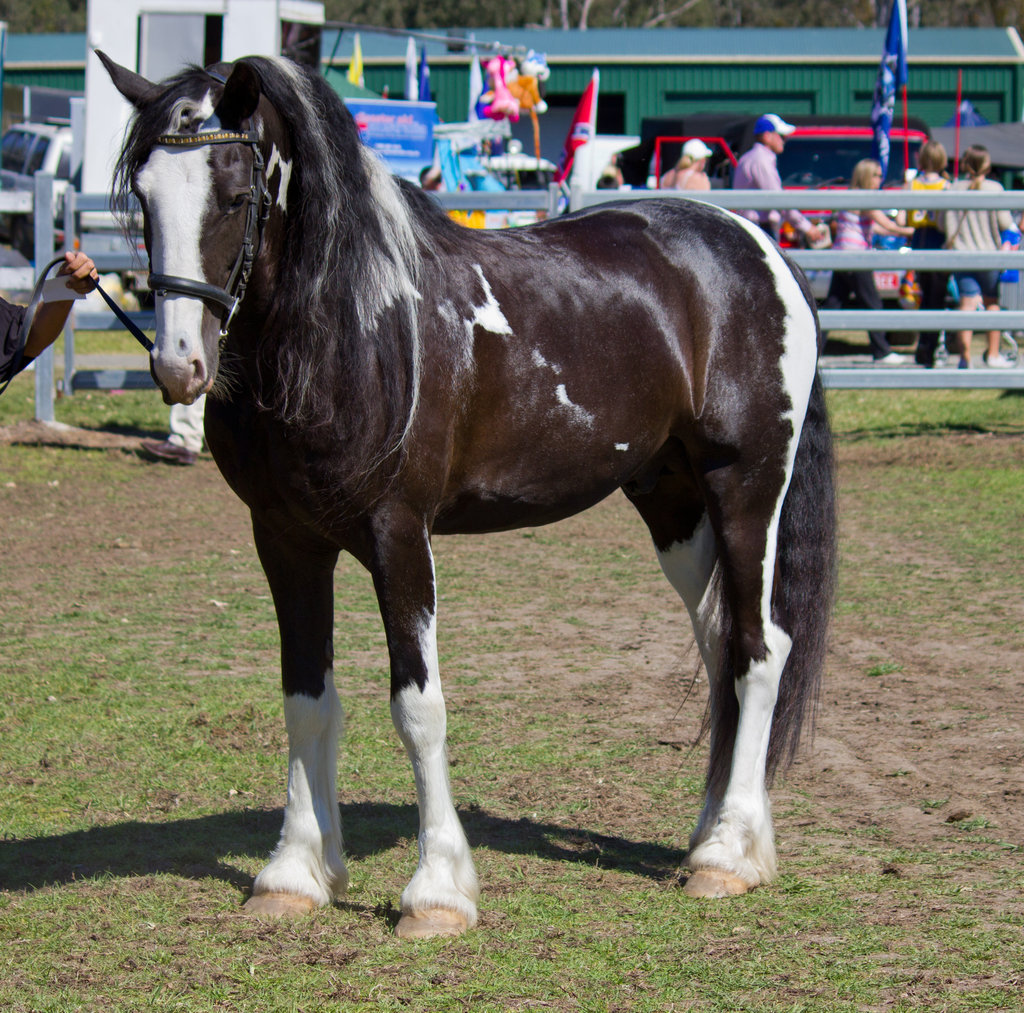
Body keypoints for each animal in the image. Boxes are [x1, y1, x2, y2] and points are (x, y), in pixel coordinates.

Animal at [96, 53, 835, 942]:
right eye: (144, 196)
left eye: (236, 195)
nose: (179, 365)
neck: (353, 330)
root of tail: (761, 250)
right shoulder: (286, 540)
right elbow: (307, 700)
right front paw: (295, 873)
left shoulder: (397, 535)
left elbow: (419, 706)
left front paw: (438, 890)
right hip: (674, 506)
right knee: (723, 645)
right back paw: (715, 833)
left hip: (745, 489)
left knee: (760, 653)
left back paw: (728, 857)